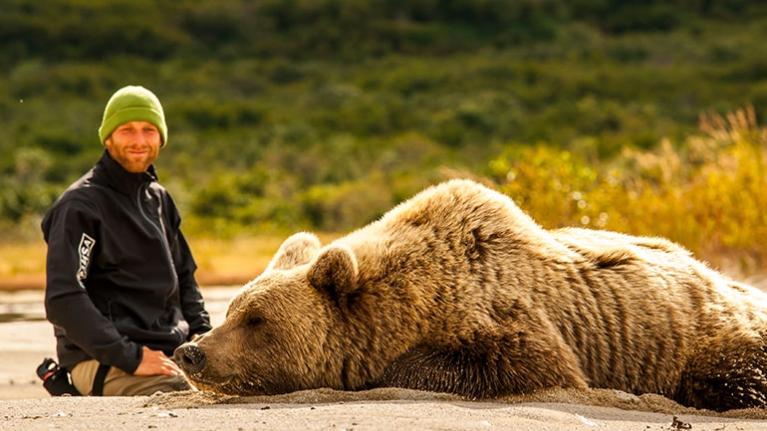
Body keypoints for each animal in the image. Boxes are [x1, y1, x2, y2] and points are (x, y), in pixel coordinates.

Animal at [174, 179, 767, 412]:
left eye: (255, 319)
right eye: (232, 310)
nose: (190, 351)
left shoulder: (505, 310)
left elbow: (530, 363)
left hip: (710, 339)